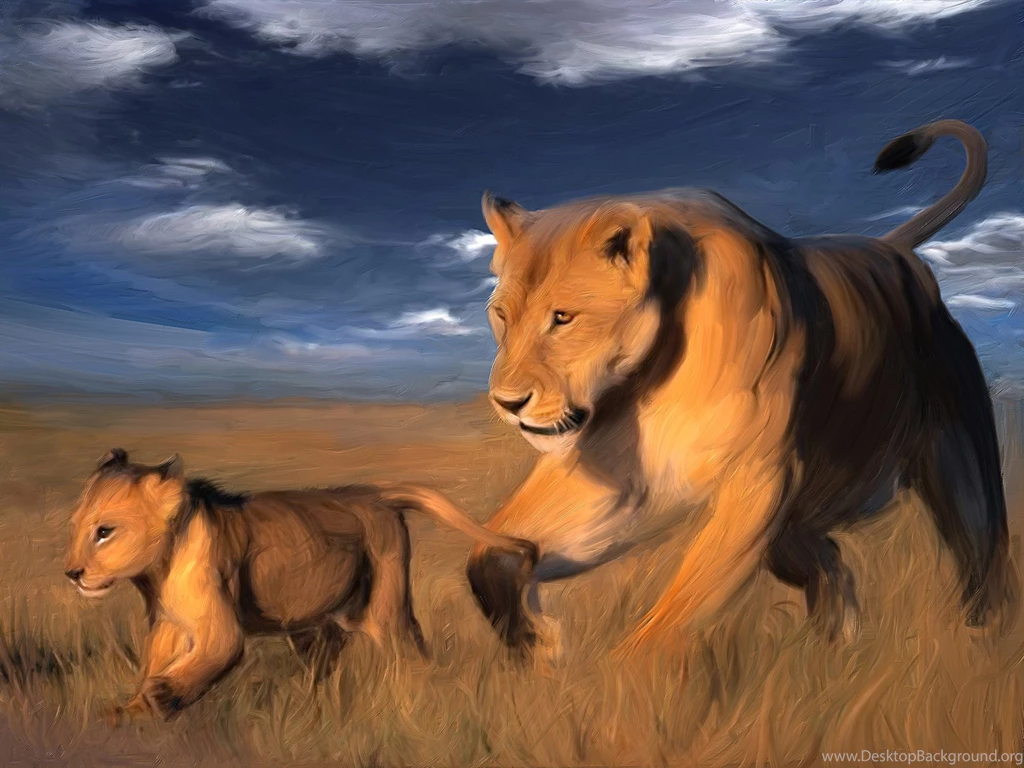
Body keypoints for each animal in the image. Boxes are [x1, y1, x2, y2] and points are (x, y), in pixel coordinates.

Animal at [63, 448, 536, 722]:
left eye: (104, 532)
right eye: (76, 527)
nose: (72, 572)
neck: (158, 570)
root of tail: (372, 492)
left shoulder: (220, 630)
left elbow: (203, 661)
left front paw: (161, 698)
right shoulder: (168, 625)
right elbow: (153, 665)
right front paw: (127, 711)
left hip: (383, 608)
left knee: (411, 652)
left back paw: (420, 702)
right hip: (317, 625)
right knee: (327, 662)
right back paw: (315, 704)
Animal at [464, 118, 1017, 668]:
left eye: (563, 317)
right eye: (501, 316)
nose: (506, 403)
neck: (648, 375)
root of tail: (893, 249)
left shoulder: (757, 478)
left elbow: (672, 618)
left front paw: (612, 679)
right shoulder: (618, 481)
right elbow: (489, 553)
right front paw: (538, 644)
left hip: (957, 463)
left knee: (984, 559)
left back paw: (979, 647)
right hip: (799, 523)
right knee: (832, 565)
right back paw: (834, 652)